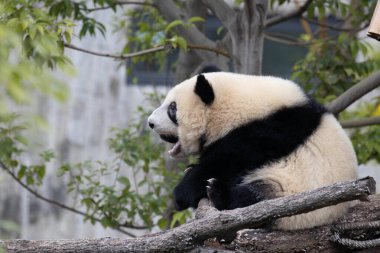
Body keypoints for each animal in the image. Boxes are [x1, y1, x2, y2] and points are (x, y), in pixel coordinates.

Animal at [147, 71, 358, 229]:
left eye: (172, 108)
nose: (150, 123)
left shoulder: (269, 129)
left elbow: (230, 159)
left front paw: (183, 191)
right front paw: (190, 170)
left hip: (294, 196)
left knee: (254, 200)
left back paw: (218, 192)